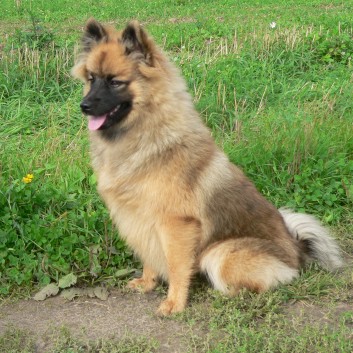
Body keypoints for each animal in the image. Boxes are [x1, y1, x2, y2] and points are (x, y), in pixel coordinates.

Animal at [72, 20, 340, 314]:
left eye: (115, 82)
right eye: (91, 79)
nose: (84, 106)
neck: (146, 136)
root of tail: (296, 251)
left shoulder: (176, 224)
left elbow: (177, 267)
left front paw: (174, 303)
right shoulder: (140, 220)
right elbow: (149, 256)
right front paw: (148, 283)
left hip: (220, 253)